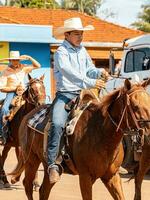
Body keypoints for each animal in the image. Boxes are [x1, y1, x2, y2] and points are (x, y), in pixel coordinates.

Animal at [10, 79, 150, 200]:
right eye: (135, 106)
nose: (148, 130)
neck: (101, 133)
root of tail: (27, 116)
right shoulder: (85, 177)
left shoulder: (112, 176)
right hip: (31, 160)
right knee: (27, 185)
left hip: (47, 167)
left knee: (44, 190)